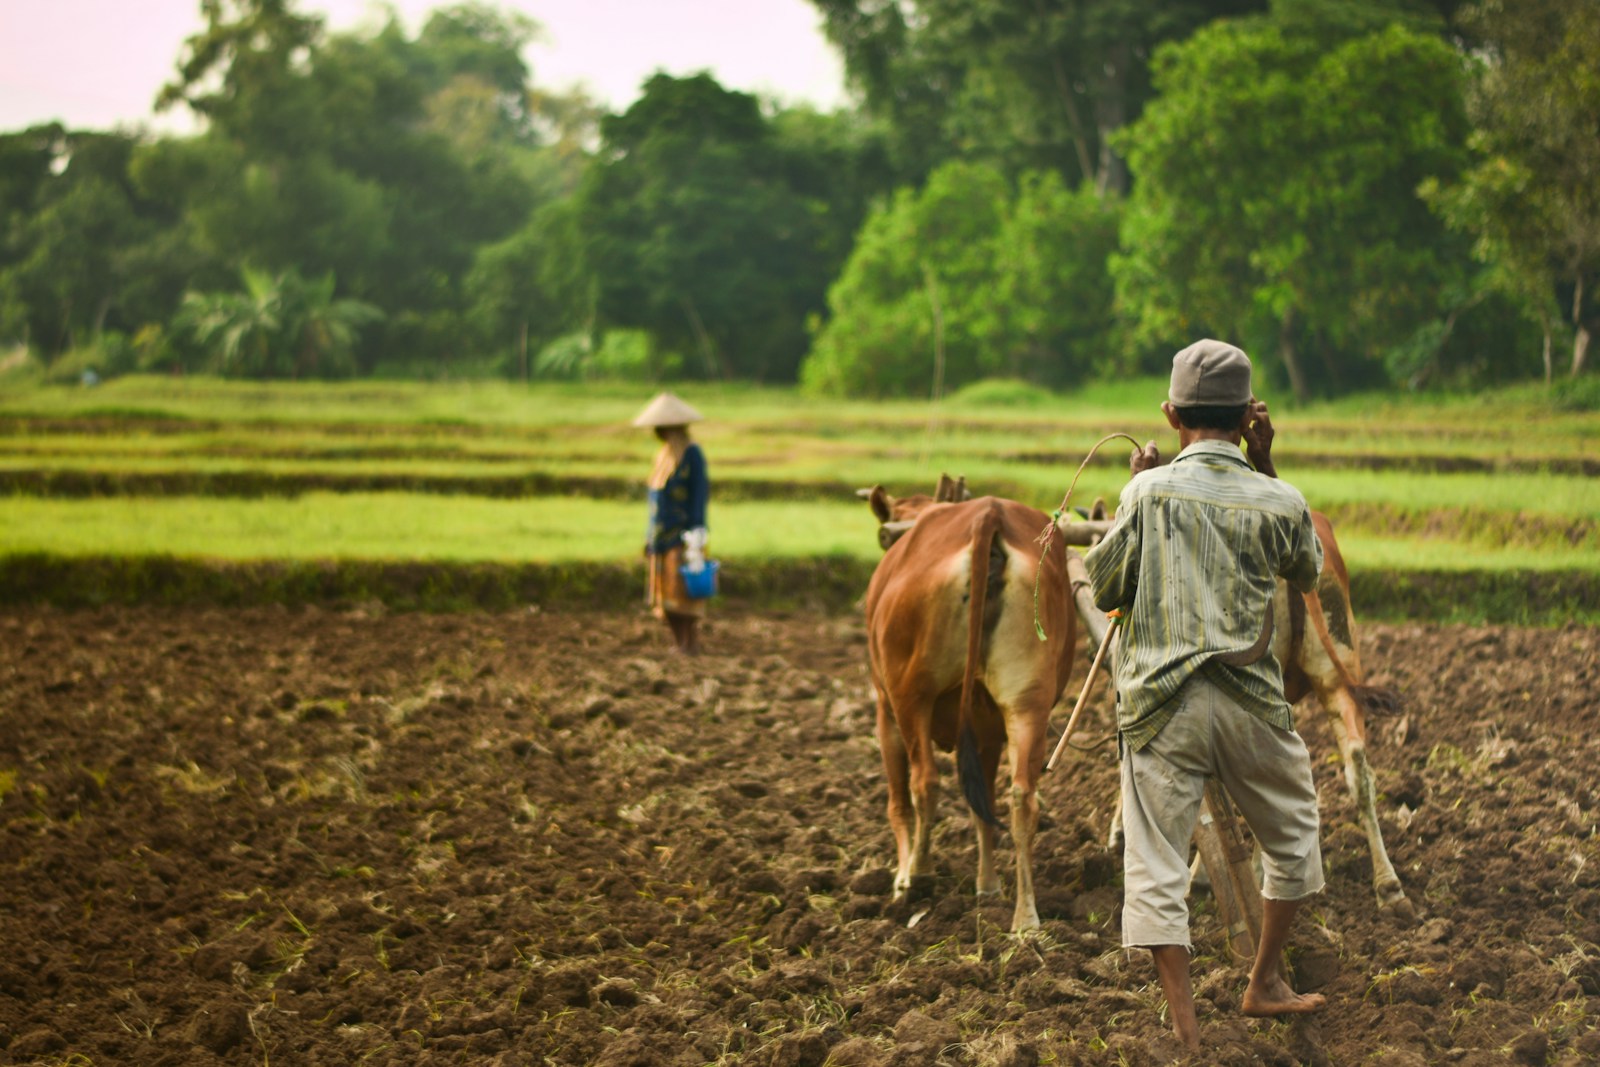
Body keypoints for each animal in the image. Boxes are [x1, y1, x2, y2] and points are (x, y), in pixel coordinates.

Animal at [861, 481, 1077, 932]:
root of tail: (988, 515)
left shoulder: (884, 710)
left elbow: (897, 802)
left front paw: (902, 876)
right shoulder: (986, 731)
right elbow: (983, 808)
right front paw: (988, 884)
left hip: (910, 698)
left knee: (924, 783)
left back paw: (919, 874)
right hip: (1027, 703)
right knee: (1022, 799)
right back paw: (1025, 919)